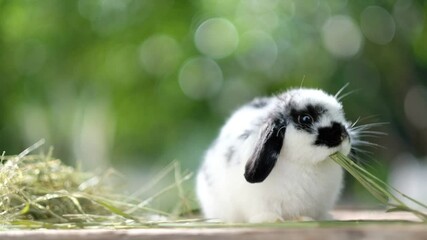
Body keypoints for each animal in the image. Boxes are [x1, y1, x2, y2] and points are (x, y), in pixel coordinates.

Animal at [197, 88, 354, 223]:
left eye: (341, 113)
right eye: (306, 119)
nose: (342, 135)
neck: (306, 165)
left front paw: (311, 219)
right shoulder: (259, 201)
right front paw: (271, 219)